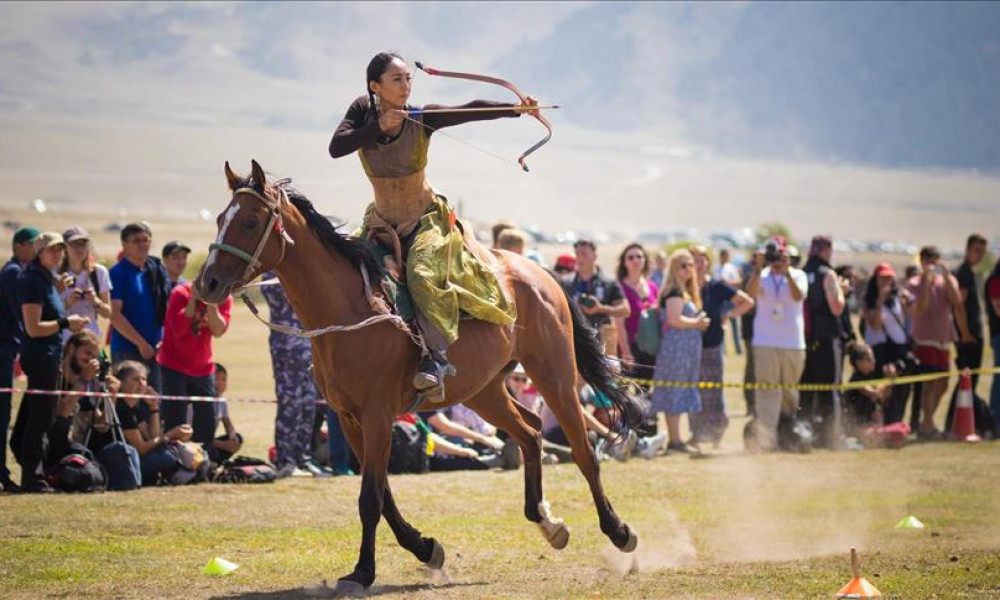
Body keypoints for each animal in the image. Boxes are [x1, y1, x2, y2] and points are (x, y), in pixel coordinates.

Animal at [197, 161, 640, 596]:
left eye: (251, 221)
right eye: (220, 218)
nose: (207, 283)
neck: (350, 311)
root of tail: (538, 273)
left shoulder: (377, 416)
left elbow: (370, 498)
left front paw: (362, 572)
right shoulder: (350, 420)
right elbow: (383, 495)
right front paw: (426, 548)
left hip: (555, 373)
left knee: (583, 450)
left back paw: (619, 531)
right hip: (482, 390)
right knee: (531, 431)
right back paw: (549, 523)